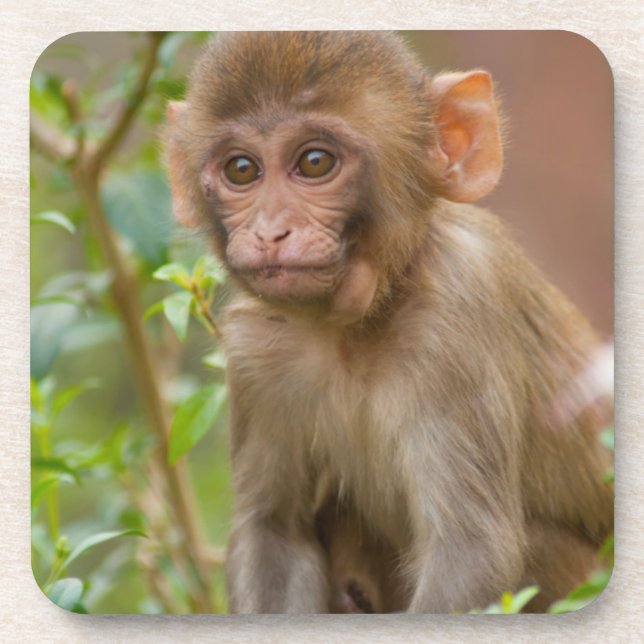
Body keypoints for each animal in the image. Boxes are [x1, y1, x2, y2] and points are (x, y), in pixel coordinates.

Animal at [165, 31, 613, 613]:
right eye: (242, 170)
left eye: (314, 162)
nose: (269, 232)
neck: (353, 326)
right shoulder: (253, 351)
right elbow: (275, 531)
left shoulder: (457, 313)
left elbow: (471, 551)